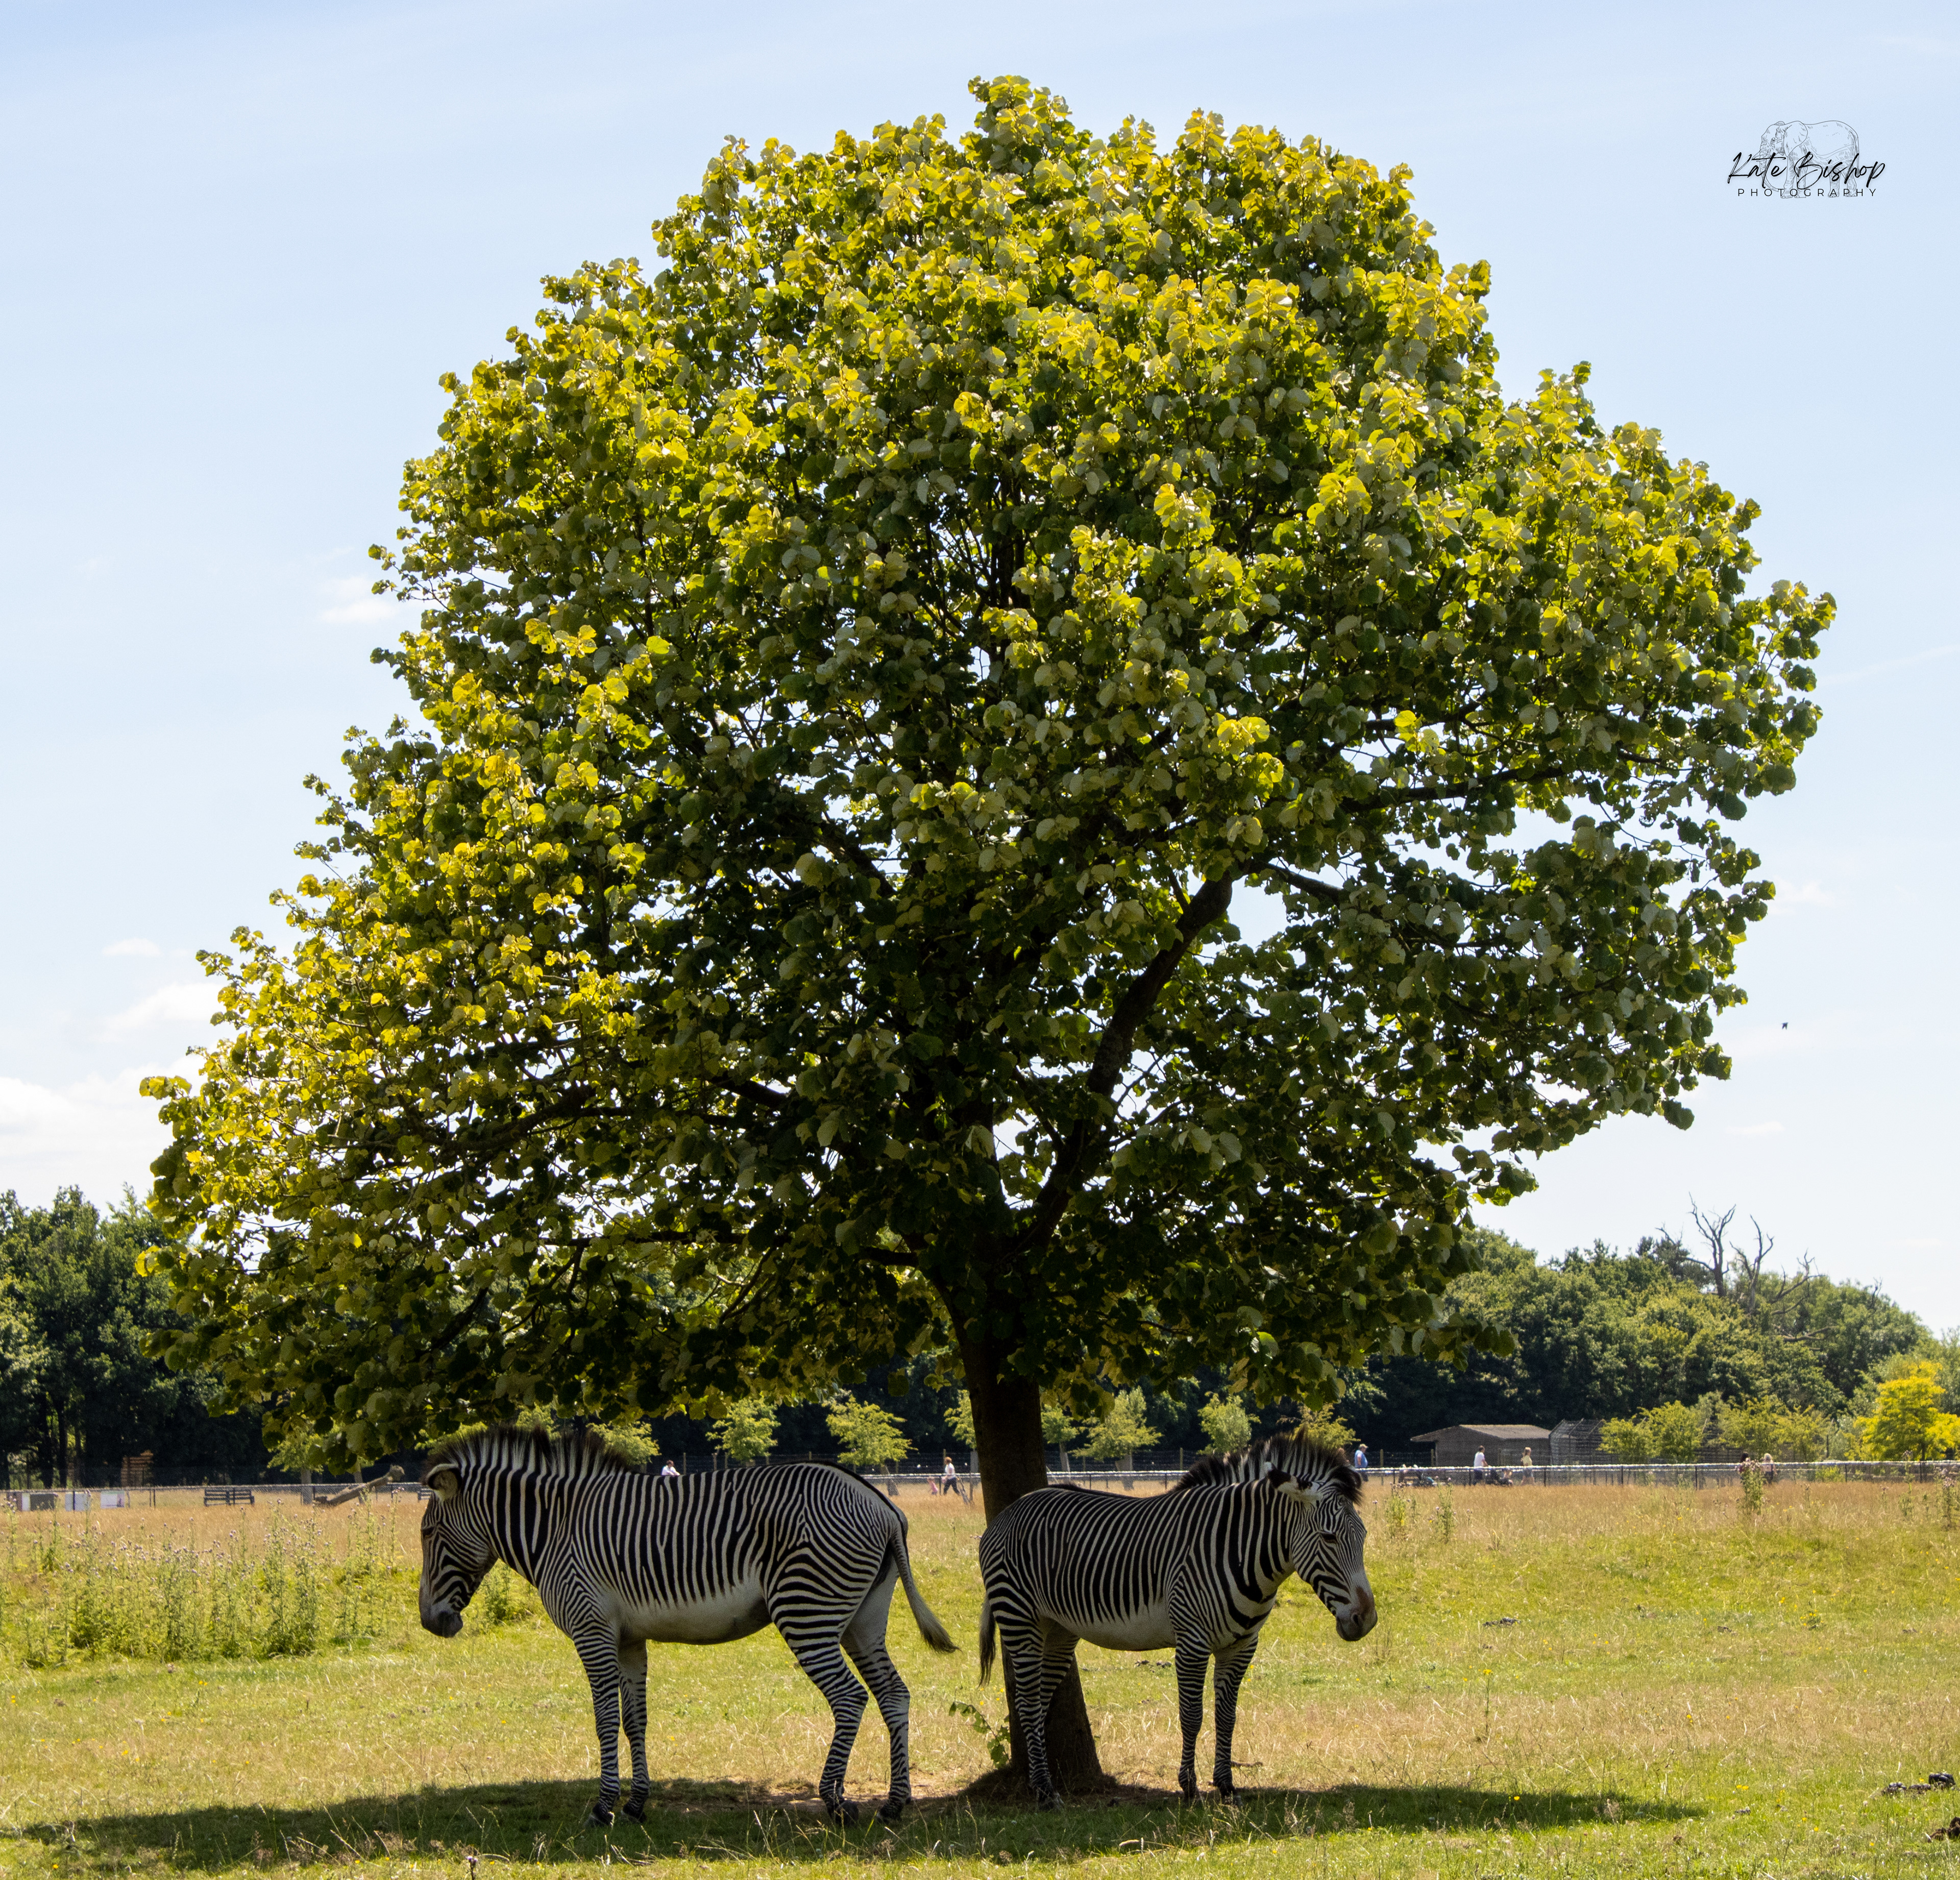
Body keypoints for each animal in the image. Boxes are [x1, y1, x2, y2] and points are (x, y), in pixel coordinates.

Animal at [416, 1426, 956, 1825]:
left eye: (426, 1531)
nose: (431, 1622)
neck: (554, 1529)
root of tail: (881, 1504)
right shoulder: (628, 1637)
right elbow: (635, 1719)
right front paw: (636, 1804)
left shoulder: (592, 1630)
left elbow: (604, 1718)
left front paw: (603, 1807)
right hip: (863, 1619)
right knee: (893, 1693)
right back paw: (895, 1802)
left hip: (807, 1610)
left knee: (850, 1697)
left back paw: (836, 1801)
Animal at [977, 1435, 1374, 1807]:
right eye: (1329, 1538)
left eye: (1365, 1536)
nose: (1366, 1619)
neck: (1241, 1552)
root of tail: (1011, 1510)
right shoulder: (1192, 1643)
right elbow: (1192, 1715)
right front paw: (1189, 1788)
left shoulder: (1242, 1645)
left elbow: (1227, 1716)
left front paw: (1227, 1787)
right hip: (1020, 1617)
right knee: (1028, 1703)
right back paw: (1046, 1793)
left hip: (1058, 1629)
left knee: (1040, 1700)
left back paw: (1040, 1784)